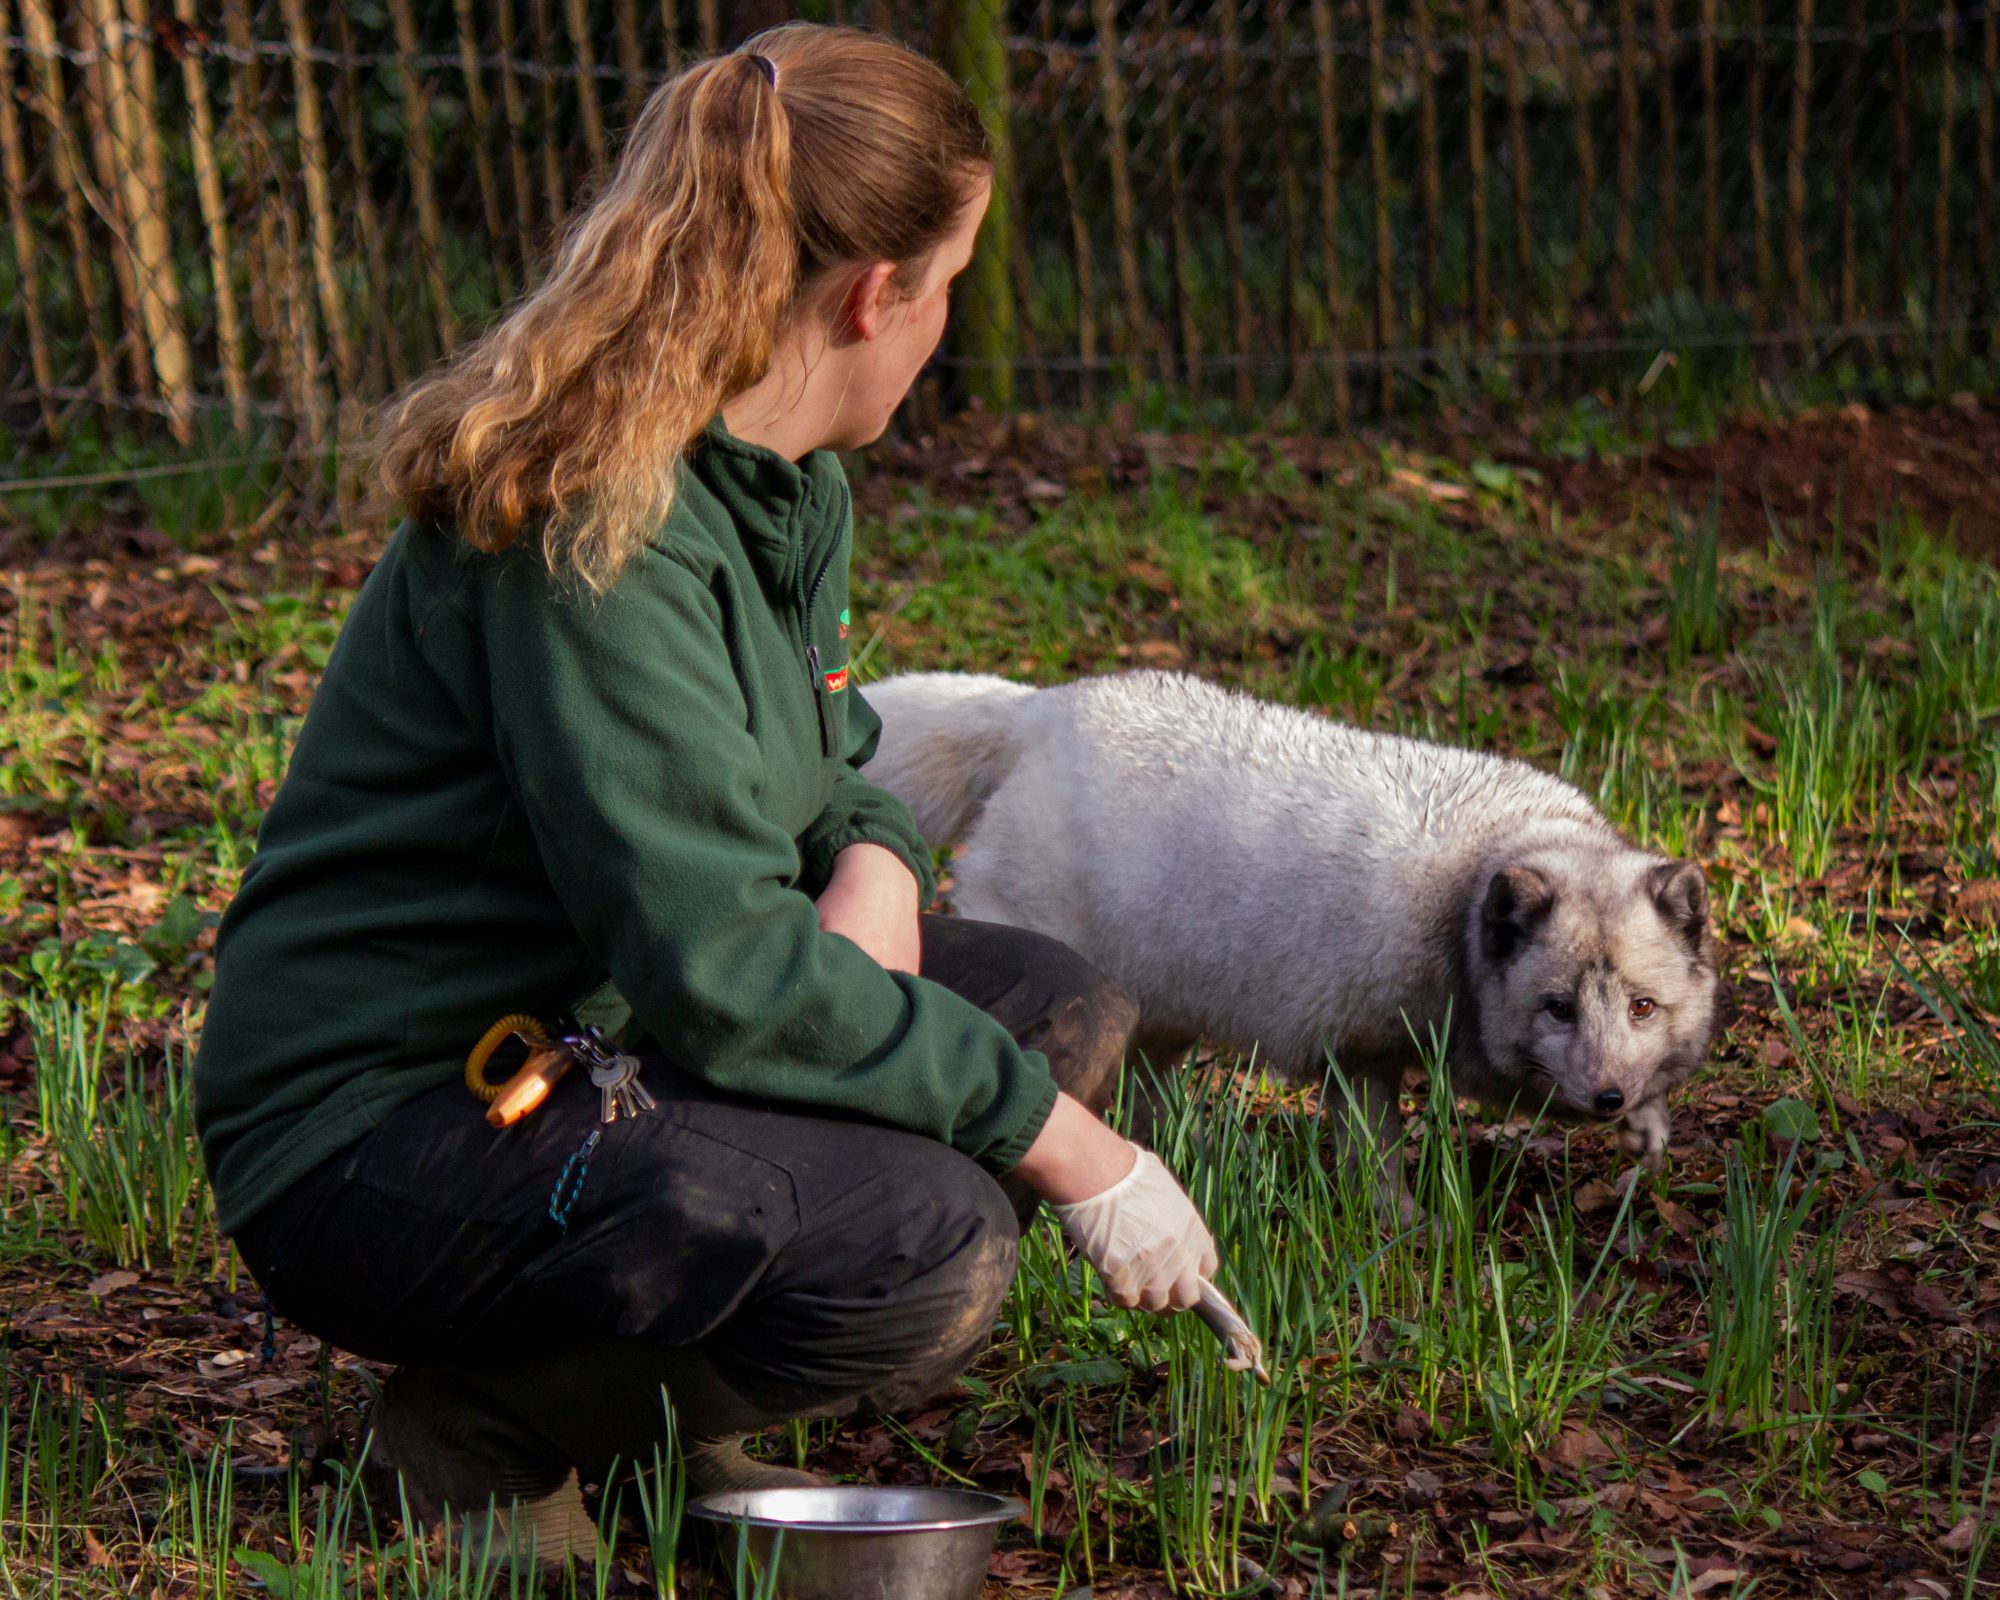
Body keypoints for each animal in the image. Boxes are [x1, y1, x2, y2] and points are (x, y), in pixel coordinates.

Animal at [862, 670, 1718, 1177]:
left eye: (1643, 1007)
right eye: (1557, 1008)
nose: (1607, 1098)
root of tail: (1042, 707)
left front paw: (1648, 1127)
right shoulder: (1359, 1053)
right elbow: (1377, 1163)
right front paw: (1401, 1238)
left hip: (1162, 1010)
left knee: (1143, 1097)